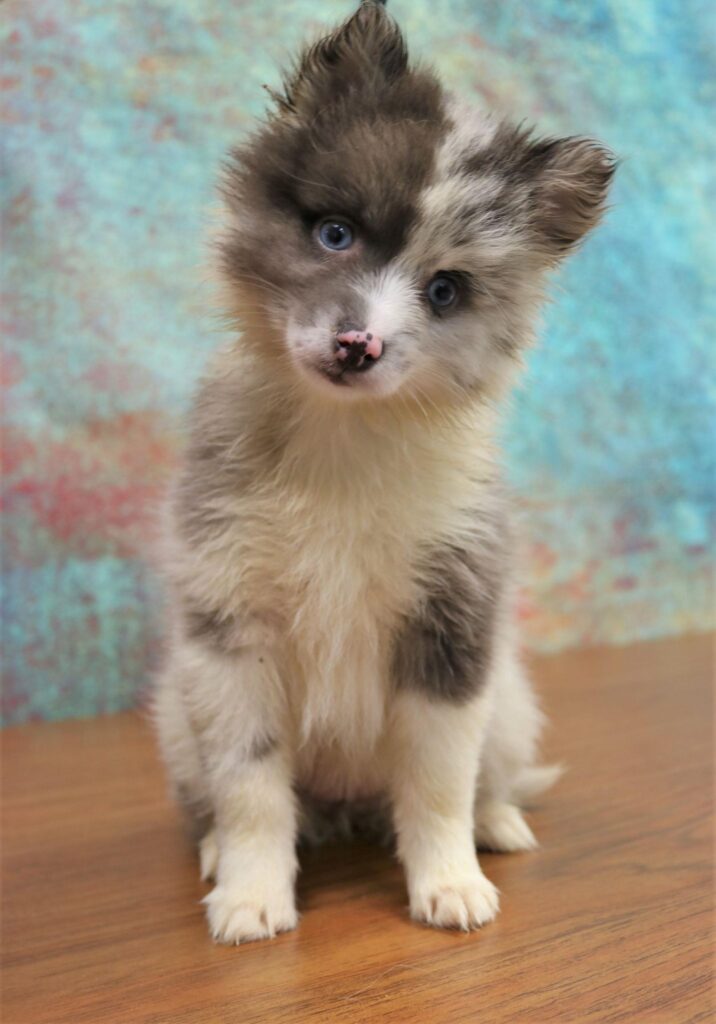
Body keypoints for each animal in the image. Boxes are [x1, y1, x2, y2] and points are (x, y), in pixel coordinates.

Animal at [154, 0, 614, 944]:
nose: (356, 345)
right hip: (177, 717)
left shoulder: (452, 627)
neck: (343, 442)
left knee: (485, 778)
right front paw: (252, 895)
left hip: (511, 702)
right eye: (336, 233)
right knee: (220, 798)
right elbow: (251, 787)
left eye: (445, 291)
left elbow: (437, 782)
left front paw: (450, 885)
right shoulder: (230, 632)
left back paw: (499, 826)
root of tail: (347, 804)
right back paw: (218, 851)